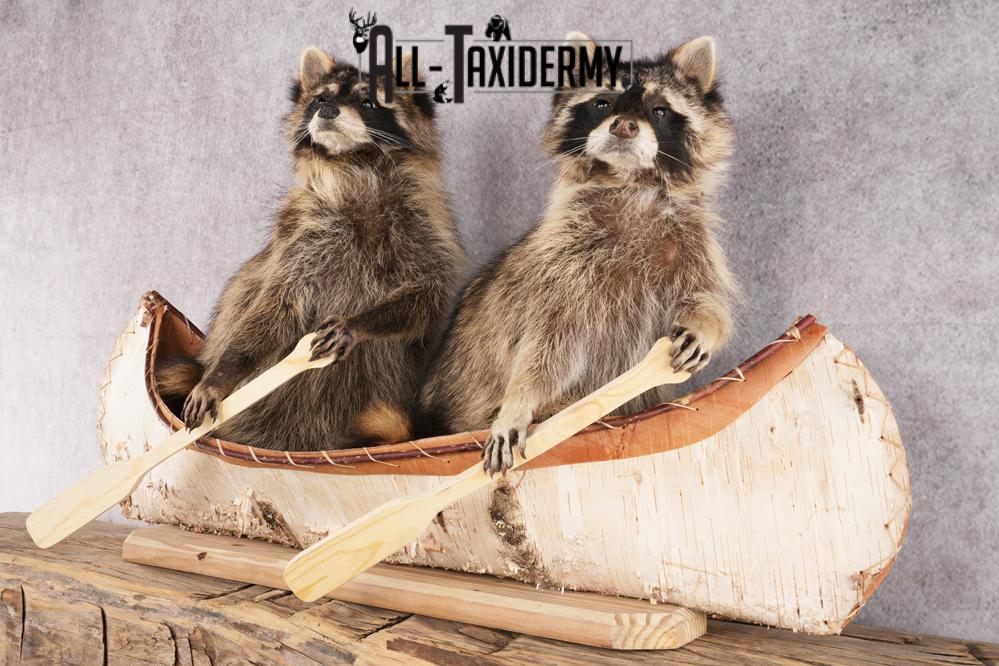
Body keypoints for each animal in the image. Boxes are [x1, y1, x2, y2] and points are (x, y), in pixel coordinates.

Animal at [157, 46, 466, 451]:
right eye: (321, 98)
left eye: (368, 101)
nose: (328, 110)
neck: (356, 162)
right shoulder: (303, 235)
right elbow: (274, 306)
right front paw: (222, 373)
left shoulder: (425, 227)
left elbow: (425, 294)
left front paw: (360, 323)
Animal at [418, 35, 738, 474]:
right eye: (603, 103)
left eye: (658, 109)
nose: (623, 125)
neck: (630, 184)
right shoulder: (563, 265)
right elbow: (545, 345)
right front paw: (520, 400)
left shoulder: (693, 244)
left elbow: (707, 295)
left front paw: (706, 323)